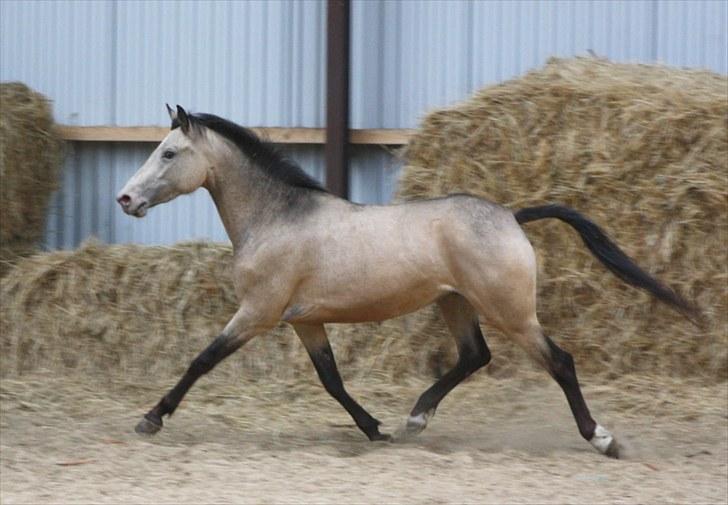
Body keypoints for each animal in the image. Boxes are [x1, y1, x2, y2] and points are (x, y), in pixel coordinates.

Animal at [116, 105, 696, 456]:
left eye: (168, 153)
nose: (126, 198)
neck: (277, 217)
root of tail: (510, 216)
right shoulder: (305, 322)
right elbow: (332, 380)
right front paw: (375, 428)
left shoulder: (257, 313)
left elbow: (202, 359)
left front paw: (151, 418)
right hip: (456, 304)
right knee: (474, 356)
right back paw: (416, 419)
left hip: (509, 311)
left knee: (560, 361)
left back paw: (602, 439)